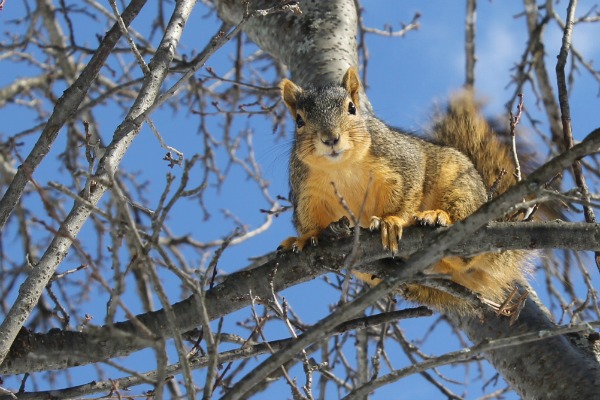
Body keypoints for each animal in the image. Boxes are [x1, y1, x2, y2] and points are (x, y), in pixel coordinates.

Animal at [276, 66, 524, 316]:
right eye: (299, 120)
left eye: (351, 108)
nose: (330, 138)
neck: (341, 168)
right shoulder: (306, 193)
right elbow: (307, 220)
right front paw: (307, 237)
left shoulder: (403, 162)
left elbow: (407, 191)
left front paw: (390, 221)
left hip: (460, 186)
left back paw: (437, 216)